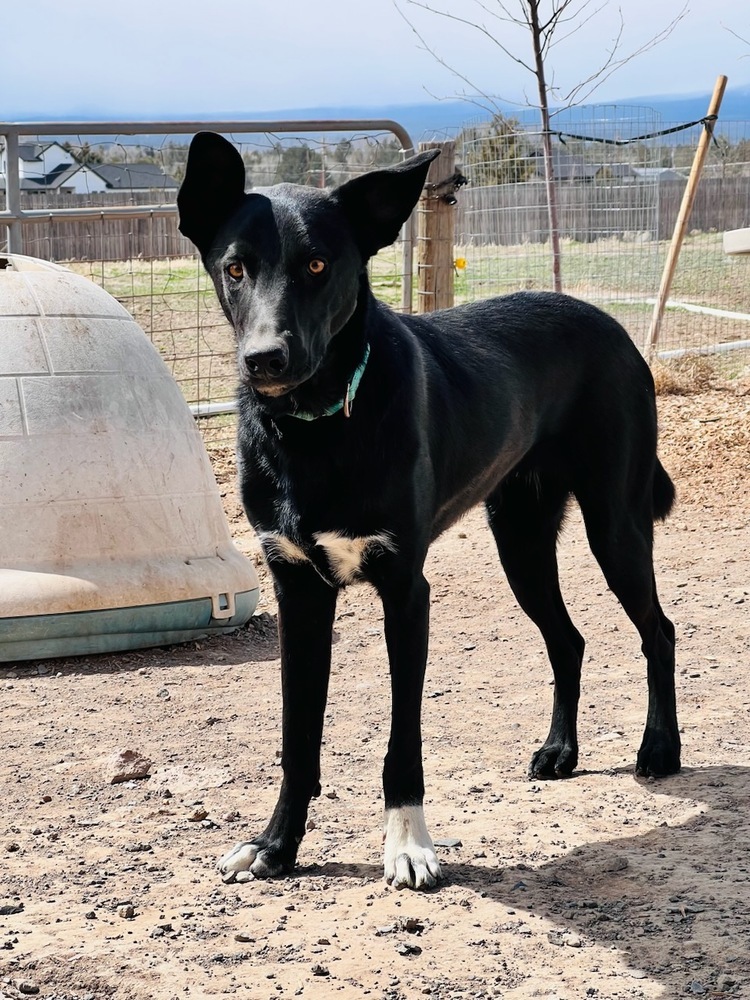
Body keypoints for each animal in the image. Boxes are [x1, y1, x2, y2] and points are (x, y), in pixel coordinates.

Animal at [178, 133, 680, 892]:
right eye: (234, 268)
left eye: (318, 264)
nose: (265, 359)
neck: (315, 429)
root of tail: (608, 323)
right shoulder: (298, 591)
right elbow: (298, 738)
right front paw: (276, 845)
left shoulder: (406, 591)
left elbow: (402, 742)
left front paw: (409, 846)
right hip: (520, 541)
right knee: (568, 640)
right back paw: (559, 751)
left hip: (614, 525)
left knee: (659, 630)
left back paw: (660, 747)